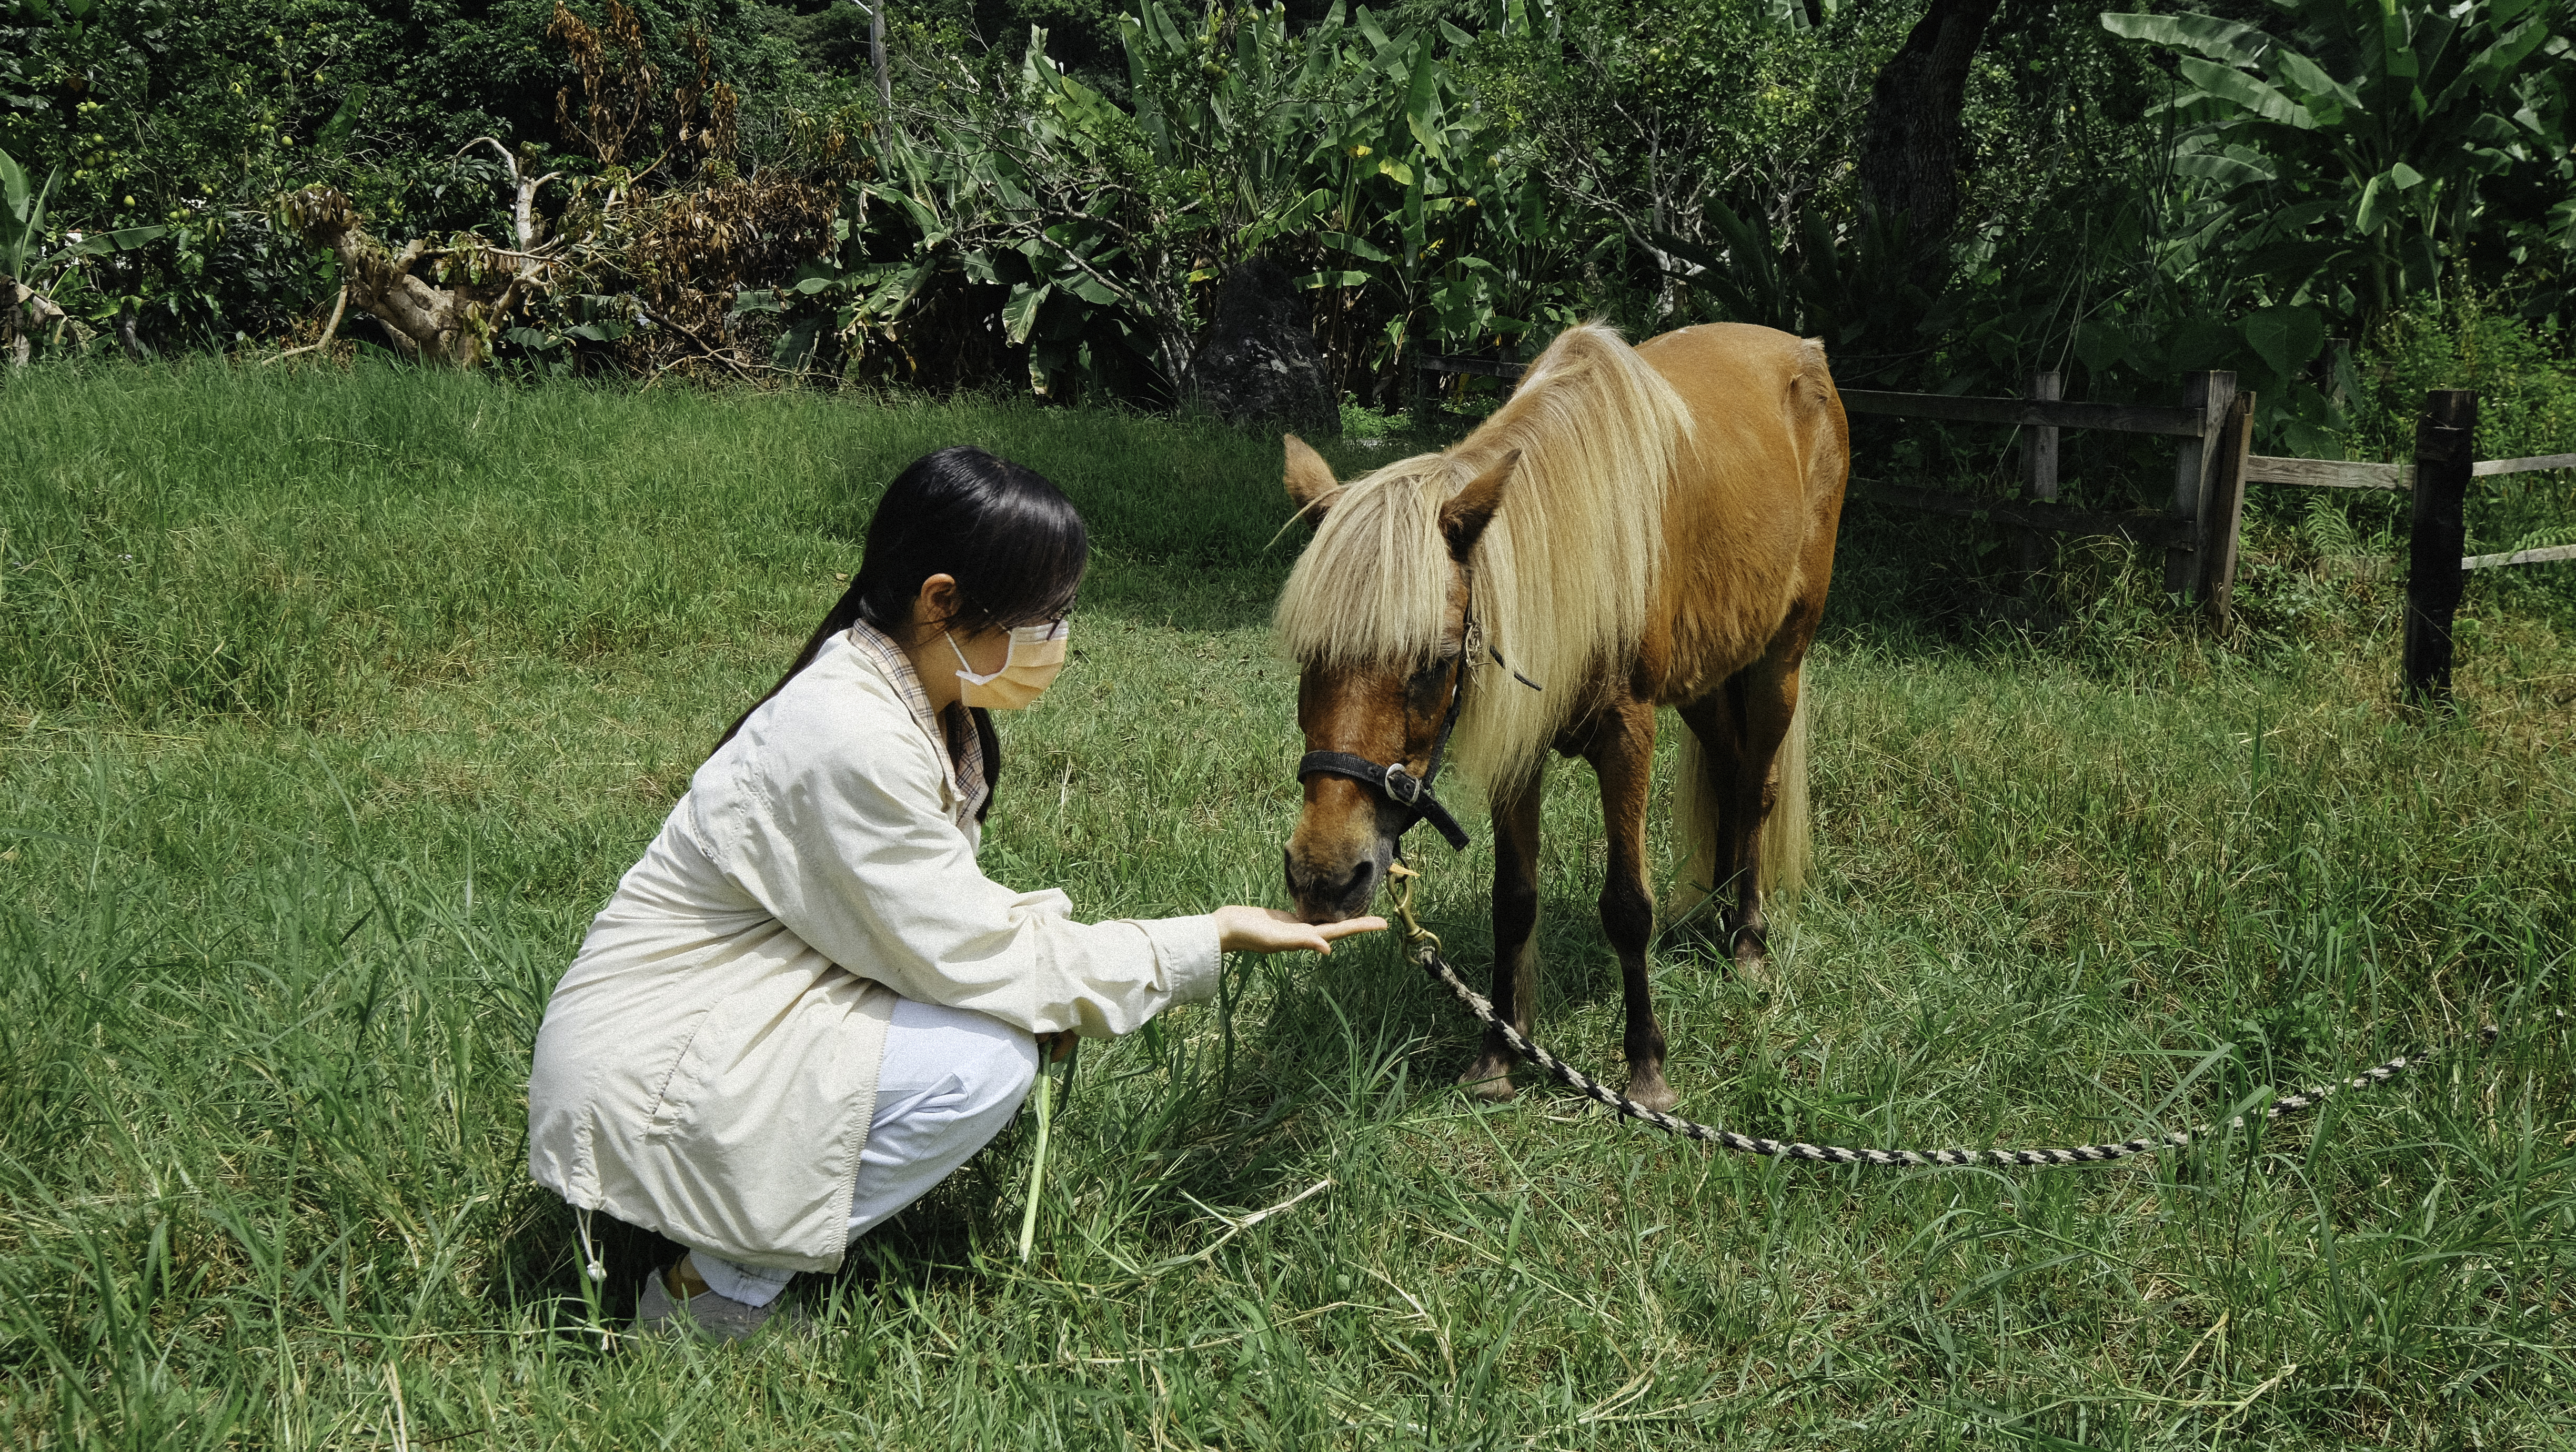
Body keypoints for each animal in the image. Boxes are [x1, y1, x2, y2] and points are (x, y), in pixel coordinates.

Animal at [1272, 320, 1844, 1112]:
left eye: (1435, 662)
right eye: (1308, 656)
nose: (1323, 878)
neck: (1584, 537)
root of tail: (1804, 350)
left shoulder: (1630, 736)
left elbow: (1628, 906)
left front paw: (1646, 1071)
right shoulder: (1523, 746)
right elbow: (1512, 901)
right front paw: (1497, 1056)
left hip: (1776, 663)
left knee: (1757, 791)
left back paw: (1749, 941)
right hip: (1708, 677)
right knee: (1731, 780)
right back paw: (1719, 917)